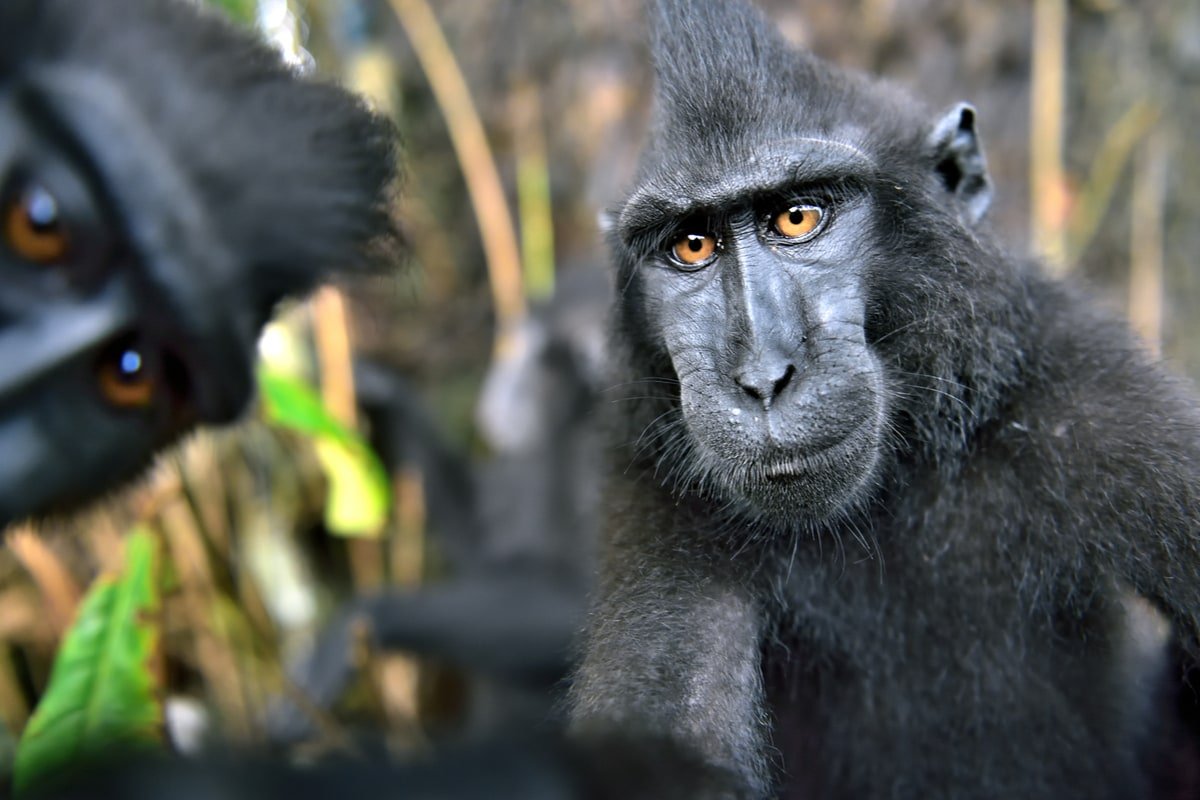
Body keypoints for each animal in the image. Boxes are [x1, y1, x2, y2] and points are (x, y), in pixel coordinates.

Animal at [567, 1, 1200, 799]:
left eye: (797, 218)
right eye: (692, 246)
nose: (763, 378)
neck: (888, 496)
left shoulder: (1098, 412)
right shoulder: (662, 497)